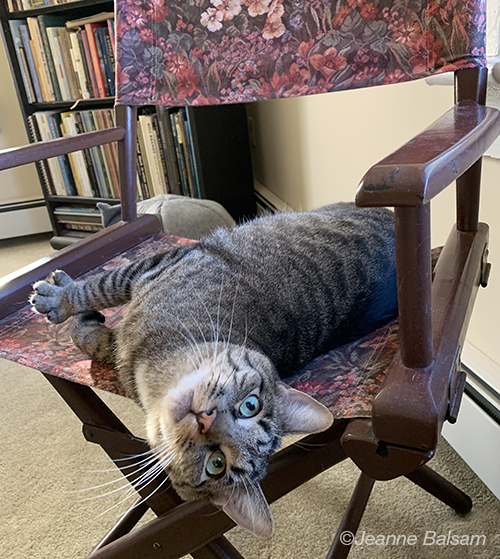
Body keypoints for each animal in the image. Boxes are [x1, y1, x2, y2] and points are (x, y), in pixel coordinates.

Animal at [30, 202, 397, 537]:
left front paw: (60, 302)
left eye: (216, 464)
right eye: (251, 405)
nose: (205, 419)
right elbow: (97, 292)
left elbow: (91, 306)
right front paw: (65, 296)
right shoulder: (164, 264)